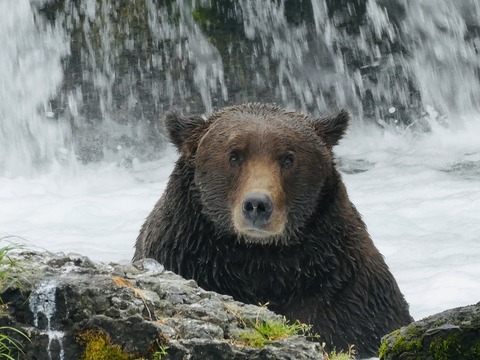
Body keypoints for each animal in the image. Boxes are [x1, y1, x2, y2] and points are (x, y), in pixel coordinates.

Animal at [132, 102, 412, 356]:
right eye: (234, 155)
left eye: (288, 158)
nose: (257, 205)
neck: (260, 259)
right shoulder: (184, 256)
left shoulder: (346, 289)